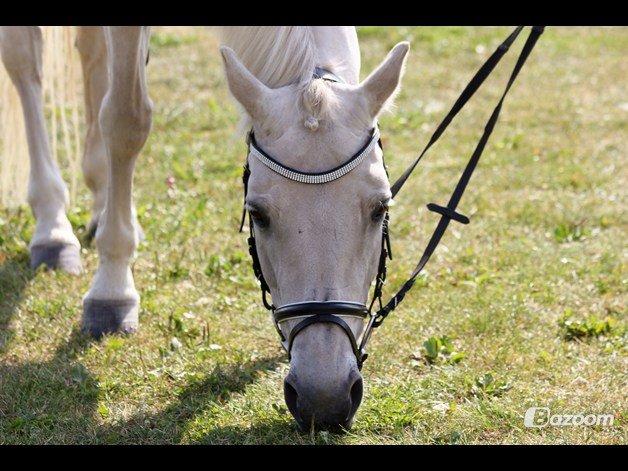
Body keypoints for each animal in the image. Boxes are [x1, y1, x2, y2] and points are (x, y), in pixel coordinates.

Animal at [0, 25, 410, 432]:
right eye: (257, 213)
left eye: (380, 208)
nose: (323, 399)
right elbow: (125, 119)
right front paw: (112, 289)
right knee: (26, 64)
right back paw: (53, 228)